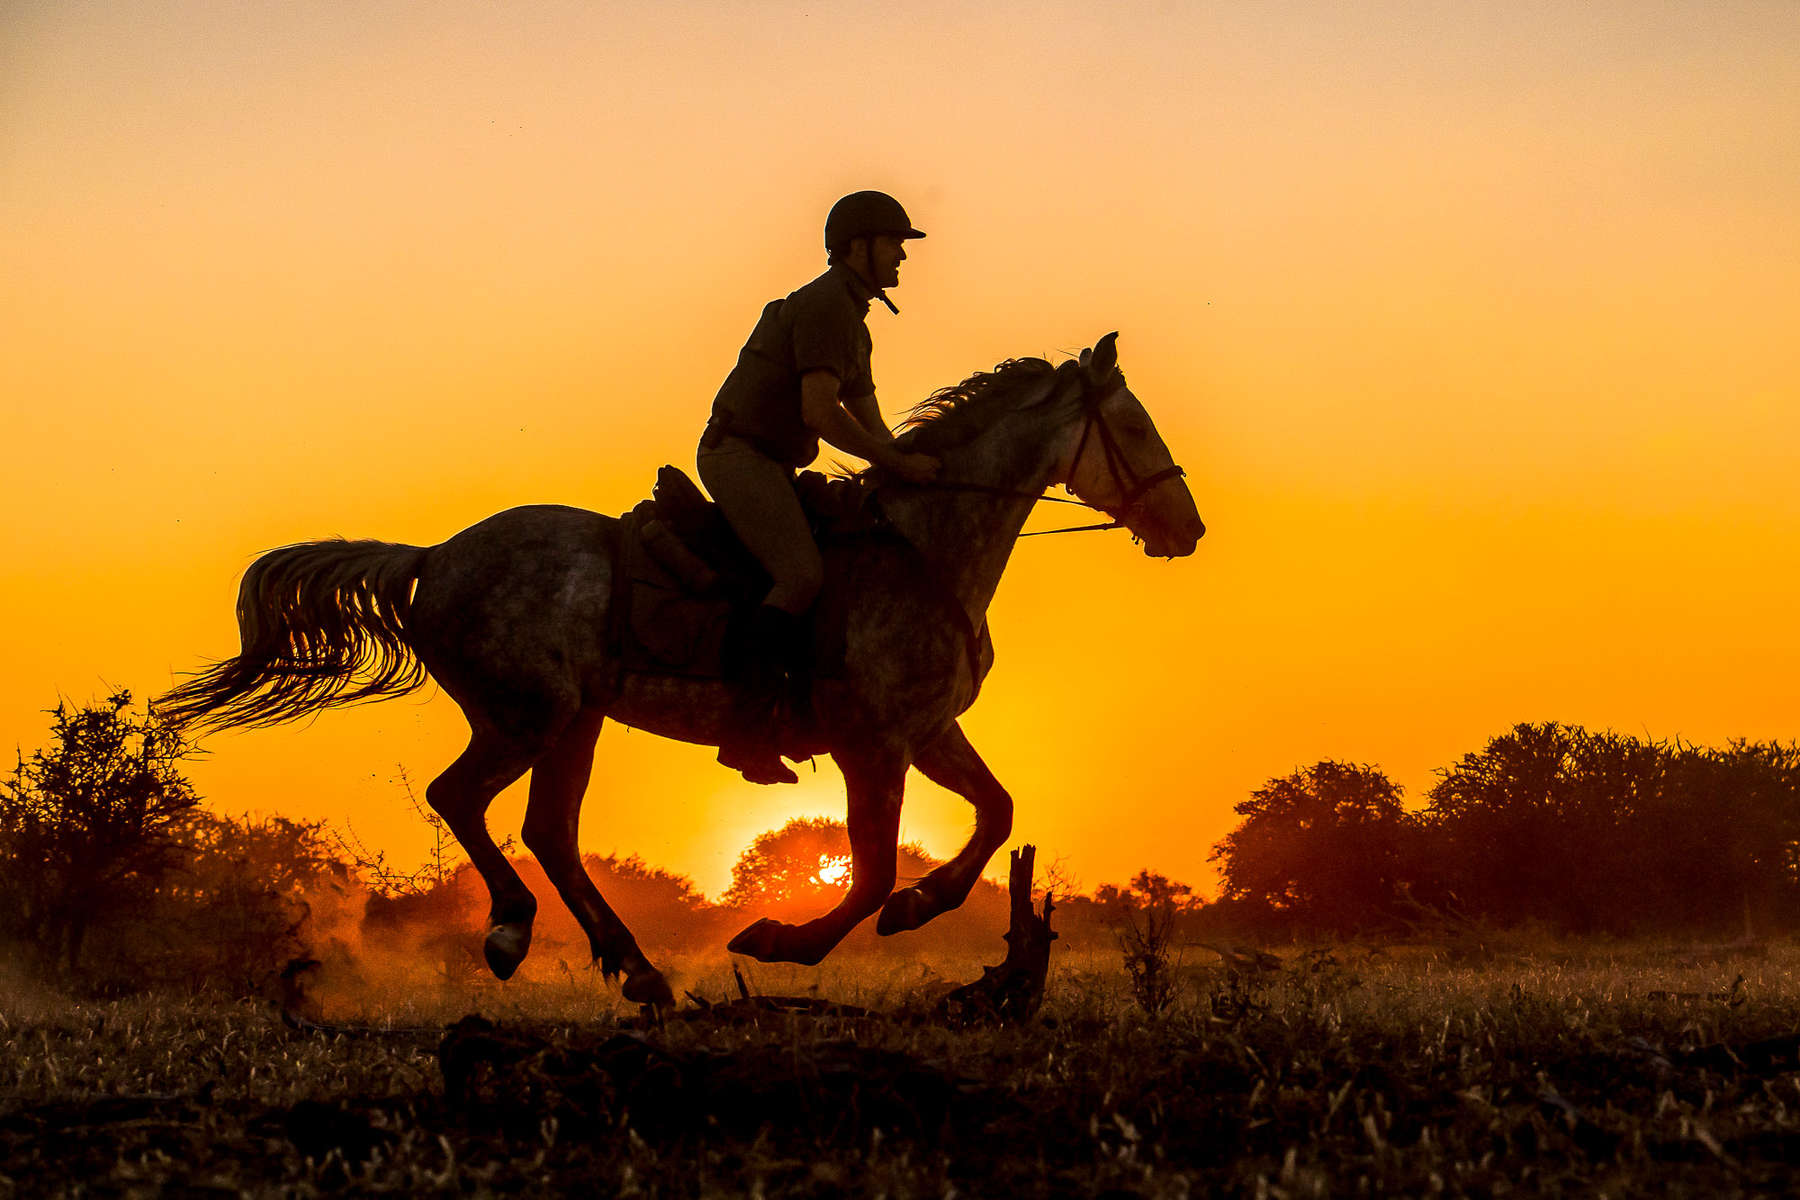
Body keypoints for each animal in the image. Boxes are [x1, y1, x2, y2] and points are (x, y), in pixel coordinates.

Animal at [154, 332, 1195, 1007]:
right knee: (465, 800)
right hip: (526, 713)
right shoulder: (872, 742)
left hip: (574, 720)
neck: (924, 545)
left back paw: (639, 972)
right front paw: (785, 940)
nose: (1188, 530)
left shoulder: (929, 730)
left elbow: (995, 815)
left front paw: (918, 907)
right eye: (1139, 428)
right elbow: (864, 870)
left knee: (549, 830)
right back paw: (512, 932)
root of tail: (435, 557)